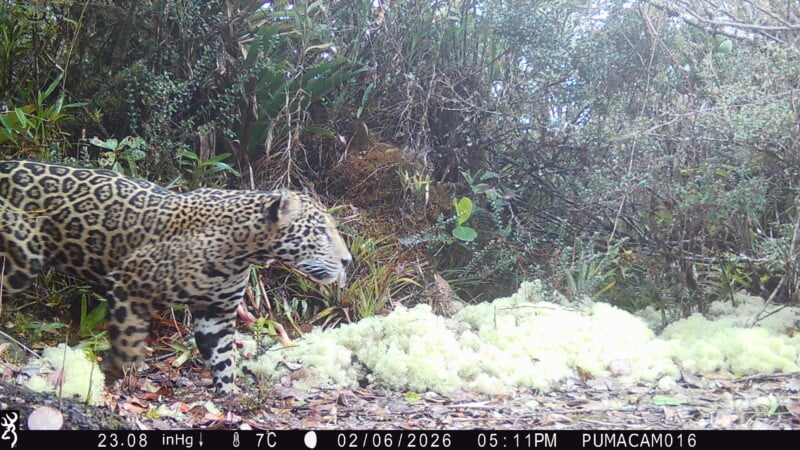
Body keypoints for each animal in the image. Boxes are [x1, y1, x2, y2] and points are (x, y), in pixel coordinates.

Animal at [0, 159, 351, 394]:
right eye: (320, 232)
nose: (348, 260)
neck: (244, 251)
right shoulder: (127, 282)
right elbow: (130, 339)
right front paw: (113, 370)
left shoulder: (216, 314)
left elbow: (223, 357)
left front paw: (229, 395)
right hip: (22, 259)